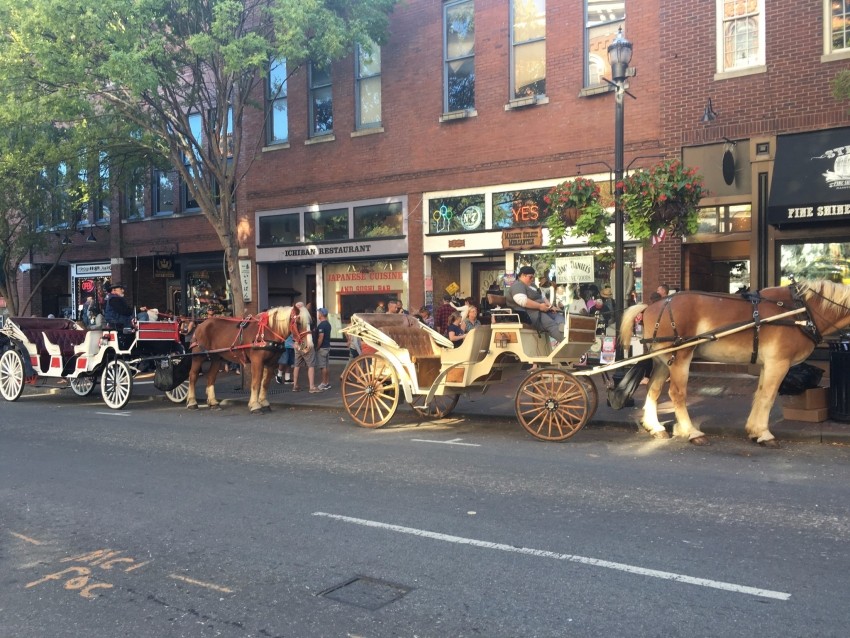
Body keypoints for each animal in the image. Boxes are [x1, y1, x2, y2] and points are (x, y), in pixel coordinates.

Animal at [619, 280, 850, 447]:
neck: (800, 310)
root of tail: (651, 306)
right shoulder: (779, 363)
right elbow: (768, 397)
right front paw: (765, 434)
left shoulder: (768, 364)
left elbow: (759, 394)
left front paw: (754, 430)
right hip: (680, 357)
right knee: (676, 393)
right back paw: (692, 432)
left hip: (663, 360)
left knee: (653, 390)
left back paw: (655, 427)